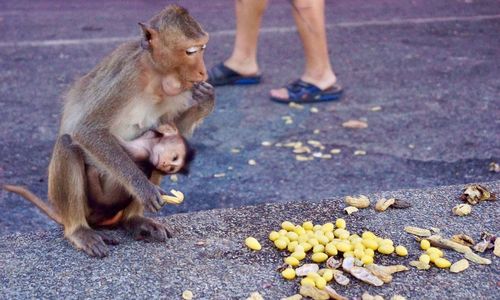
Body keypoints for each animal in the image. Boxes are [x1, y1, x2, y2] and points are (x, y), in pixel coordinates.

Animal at [48, 4, 215, 256]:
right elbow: (87, 131)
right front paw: (144, 189)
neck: (156, 74)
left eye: (203, 48)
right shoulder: (128, 76)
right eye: (191, 51)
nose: (203, 73)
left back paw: (134, 220)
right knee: (68, 144)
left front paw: (206, 100)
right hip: (90, 205)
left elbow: (174, 132)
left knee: (154, 162)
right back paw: (79, 230)